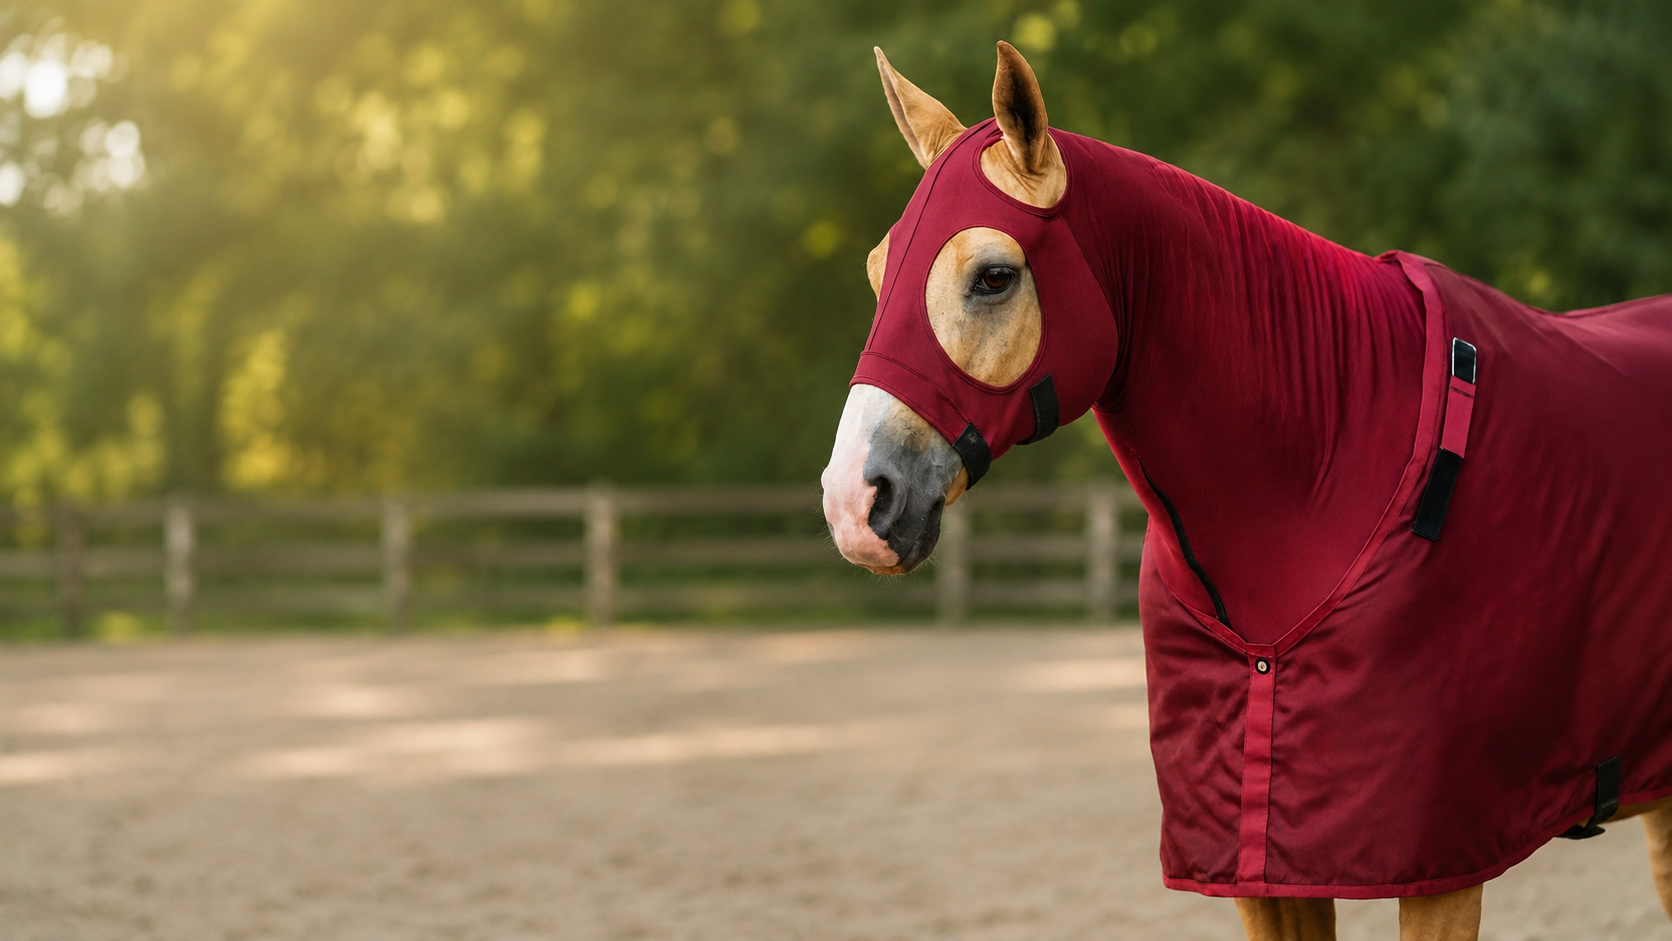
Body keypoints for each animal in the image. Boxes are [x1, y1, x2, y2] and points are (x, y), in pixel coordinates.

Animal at [820, 41, 1672, 941]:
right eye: (878, 271)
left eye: (993, 275)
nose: (854, 503)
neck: (1326, 471)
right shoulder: (1260, 877)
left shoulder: (1444, 866)